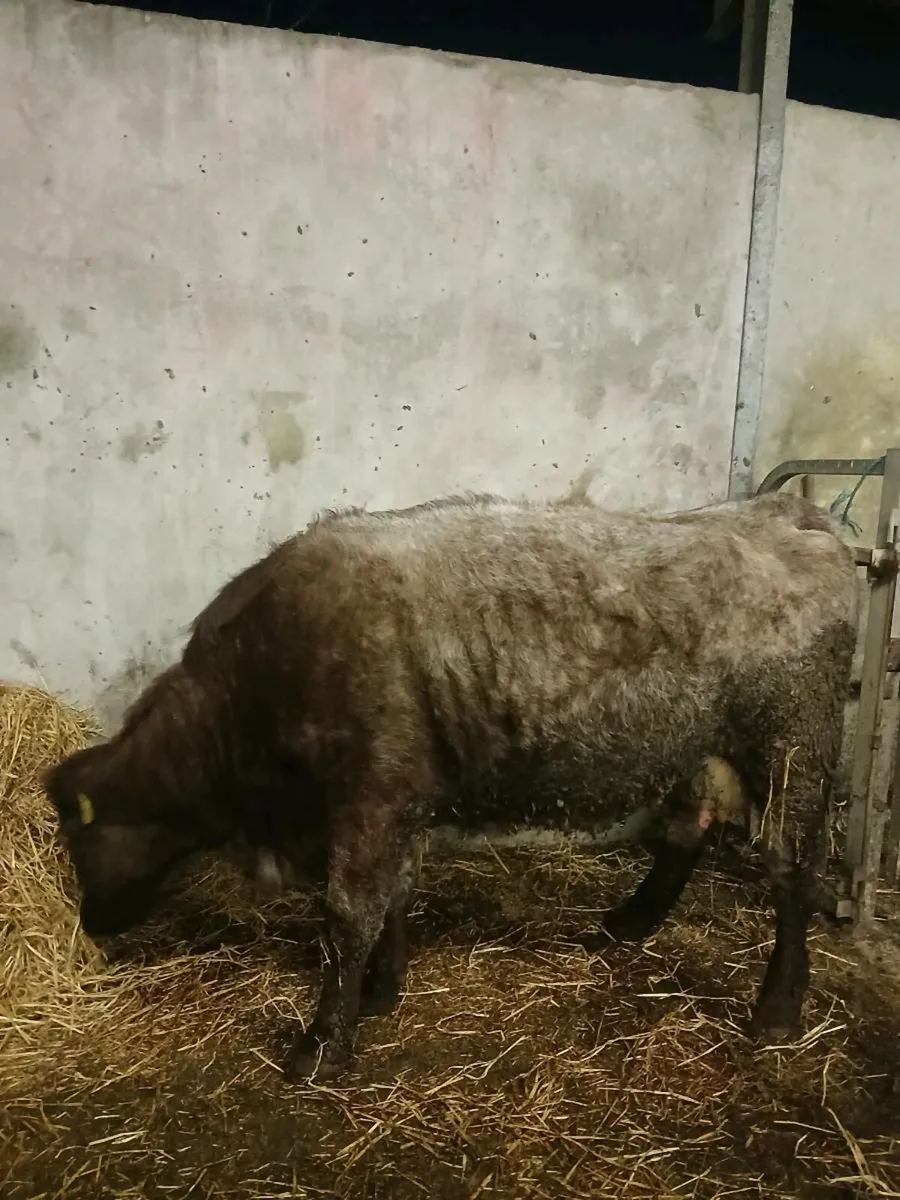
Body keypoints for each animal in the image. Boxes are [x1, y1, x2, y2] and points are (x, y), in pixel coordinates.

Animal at [44, 489, 859, 1083]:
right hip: (706, 744)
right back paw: (631, 921)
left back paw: (778, 1006)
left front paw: (322, 1042)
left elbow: (349, 913)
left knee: (792, 869)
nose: (93, 923)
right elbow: (395, 894)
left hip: (794, 744)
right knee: (693, 822)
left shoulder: (371, 794)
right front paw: (382, 988)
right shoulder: (397, 797)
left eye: (79, 841)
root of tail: (785, 510)